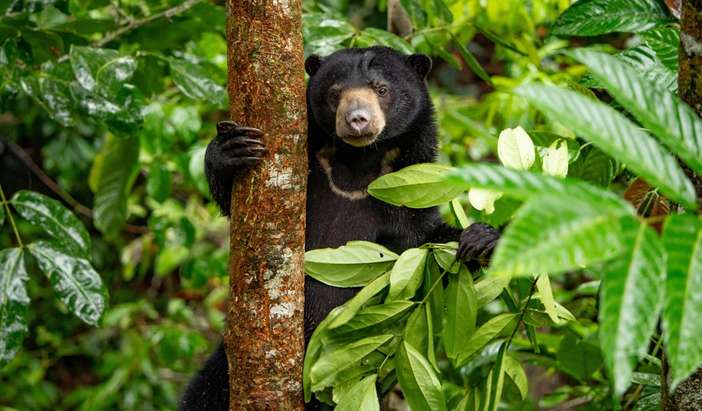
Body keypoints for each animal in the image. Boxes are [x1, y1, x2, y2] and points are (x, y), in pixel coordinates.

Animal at [180, 46, 500, 410]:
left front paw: (481, 239)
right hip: (222, 370)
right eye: (335, 93)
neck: (357, 164)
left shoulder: (404, 193)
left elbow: (425, 246)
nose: (357, 119)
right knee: (203, 395)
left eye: (381, 89)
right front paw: (231, 148)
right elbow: (234, 205)